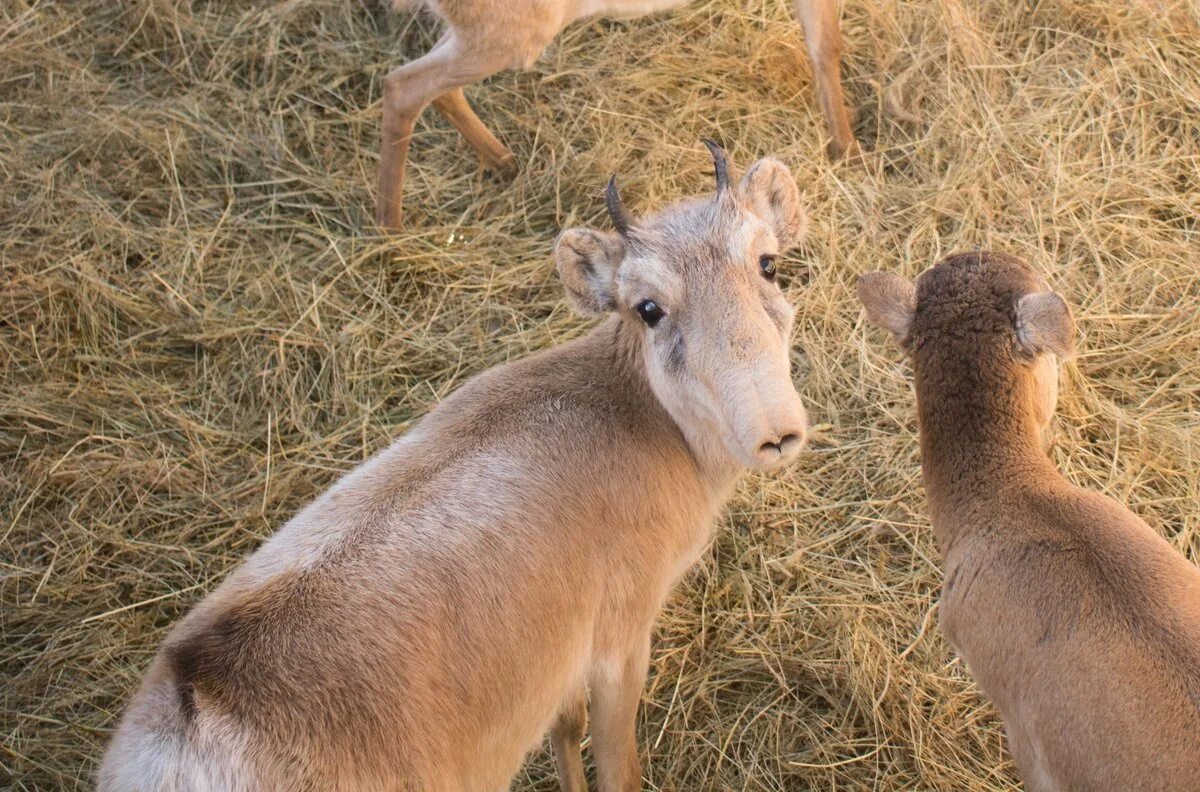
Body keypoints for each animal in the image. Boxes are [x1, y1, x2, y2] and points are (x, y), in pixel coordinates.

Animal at [103, 144, 811, 792]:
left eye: (769, 263)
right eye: (647, 307)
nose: (774, 432)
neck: (633, 411)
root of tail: (193, 715)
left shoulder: (557, 669)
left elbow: (564, 730)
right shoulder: (619, 640)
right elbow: (618, 767)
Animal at [374, 0, 854, 229]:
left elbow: (823, 44)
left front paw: (842, 149)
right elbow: (827, 44)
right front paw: (848, 149)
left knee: (428, 89)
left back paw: (504, 162)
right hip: (510, 37)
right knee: (401, 87)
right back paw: (391, 235)